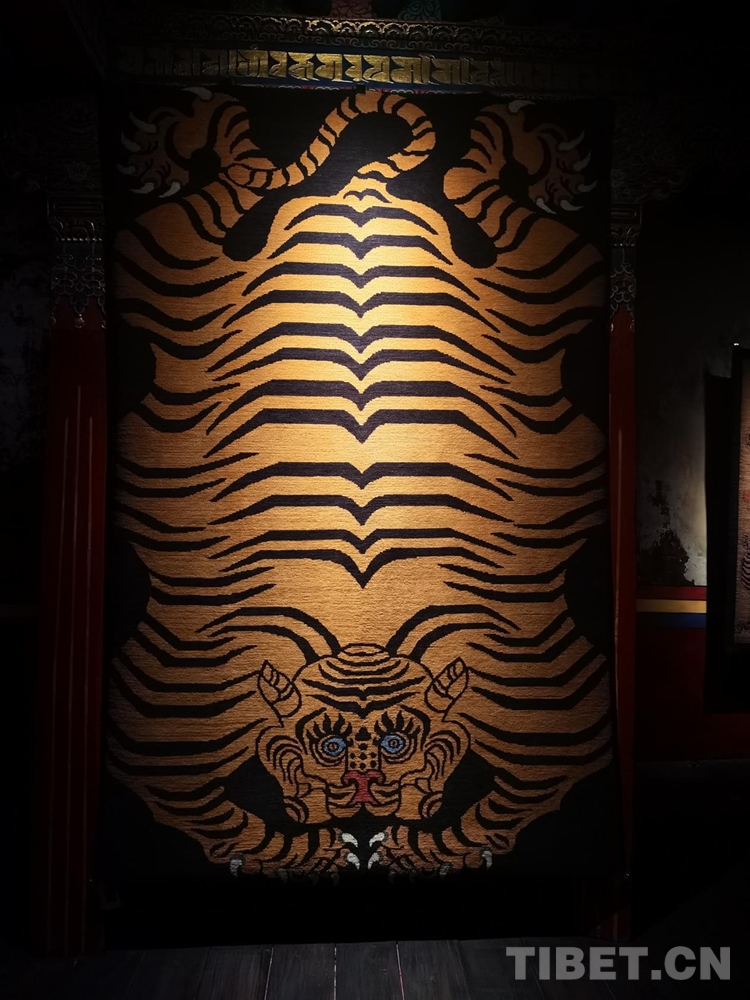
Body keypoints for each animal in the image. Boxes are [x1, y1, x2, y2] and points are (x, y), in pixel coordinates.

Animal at [107, 87, 612, 877]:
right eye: (331, 746)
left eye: (398, 744)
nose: (366, 793)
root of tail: (363, 189)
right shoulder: (174, 718)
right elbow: (232, 816)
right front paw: (319, 844)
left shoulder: (547, 711)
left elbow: (492, 811)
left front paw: (409, 839)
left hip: (552, 277)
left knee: (486, 198)